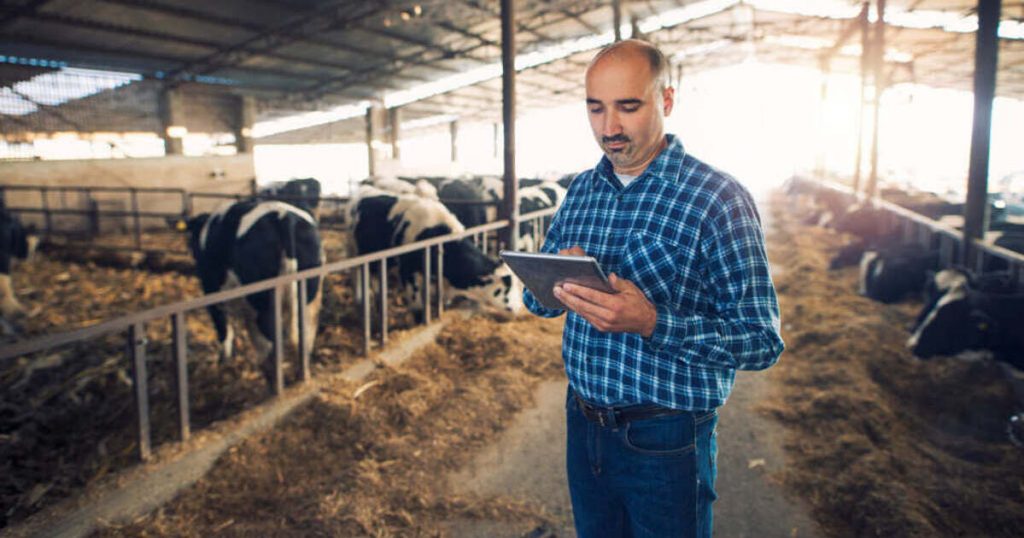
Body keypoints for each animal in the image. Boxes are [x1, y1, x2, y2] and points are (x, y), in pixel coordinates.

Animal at [185, 198, 323, 387]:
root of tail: (283, 217)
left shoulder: (211, 293)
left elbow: (224, 331)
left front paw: (224, 363)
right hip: (309, 300)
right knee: (305, 337)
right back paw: (302, 377)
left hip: (264, 304)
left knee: (271, 344)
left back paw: (272, 384)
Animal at [350, 186, 524, 315]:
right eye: (506, 287)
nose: (518, 307)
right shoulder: (407, 269)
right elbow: (417, 305)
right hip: (356, 249)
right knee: (361, 273)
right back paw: (362, 299)